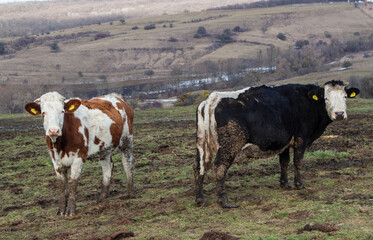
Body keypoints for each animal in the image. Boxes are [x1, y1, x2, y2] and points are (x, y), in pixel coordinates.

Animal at [193, 79, 358, 207]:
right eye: (326, 98)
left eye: (345, 96)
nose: (339, 114)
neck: (307, 101)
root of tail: (213, 98)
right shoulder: (301, 140)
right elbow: (298, 162)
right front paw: (299, 184)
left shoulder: (284, 142)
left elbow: (284, 162)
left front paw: (284, 183)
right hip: (229, 146)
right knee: (219, 169)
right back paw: (224, 201)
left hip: (202, 145)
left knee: (199, 167)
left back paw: (200, 199)